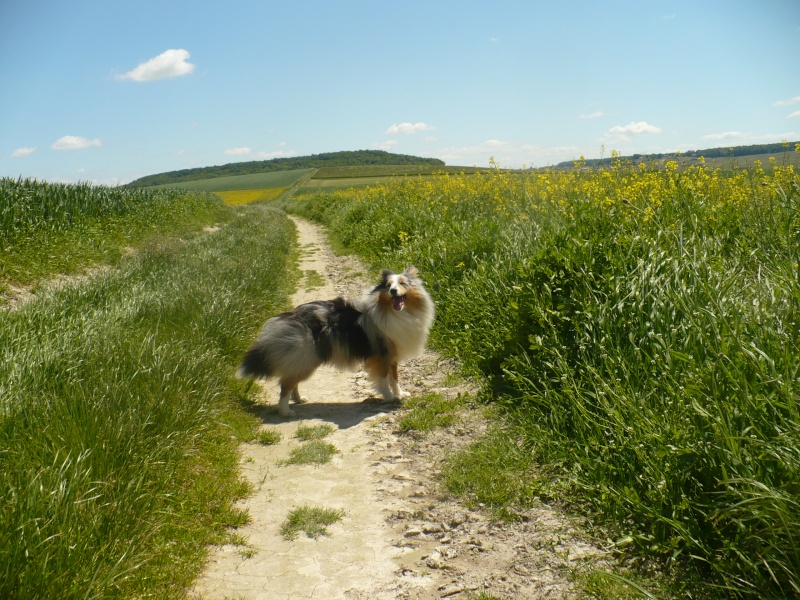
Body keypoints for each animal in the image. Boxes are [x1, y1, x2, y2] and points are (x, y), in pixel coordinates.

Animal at [238, 264, 434, 414]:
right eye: (387, 285)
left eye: (402, 283)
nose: (393, 291)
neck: (397, 313)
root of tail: (289, 317)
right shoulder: (381, 356)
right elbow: (384, 379)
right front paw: (389, 397)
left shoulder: (392, 356)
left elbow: (394, 378)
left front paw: (401, 394)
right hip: (306, 359)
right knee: (285, 386)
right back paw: (285, 411)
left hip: (303, 361)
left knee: (291, 382)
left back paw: (300, 400)